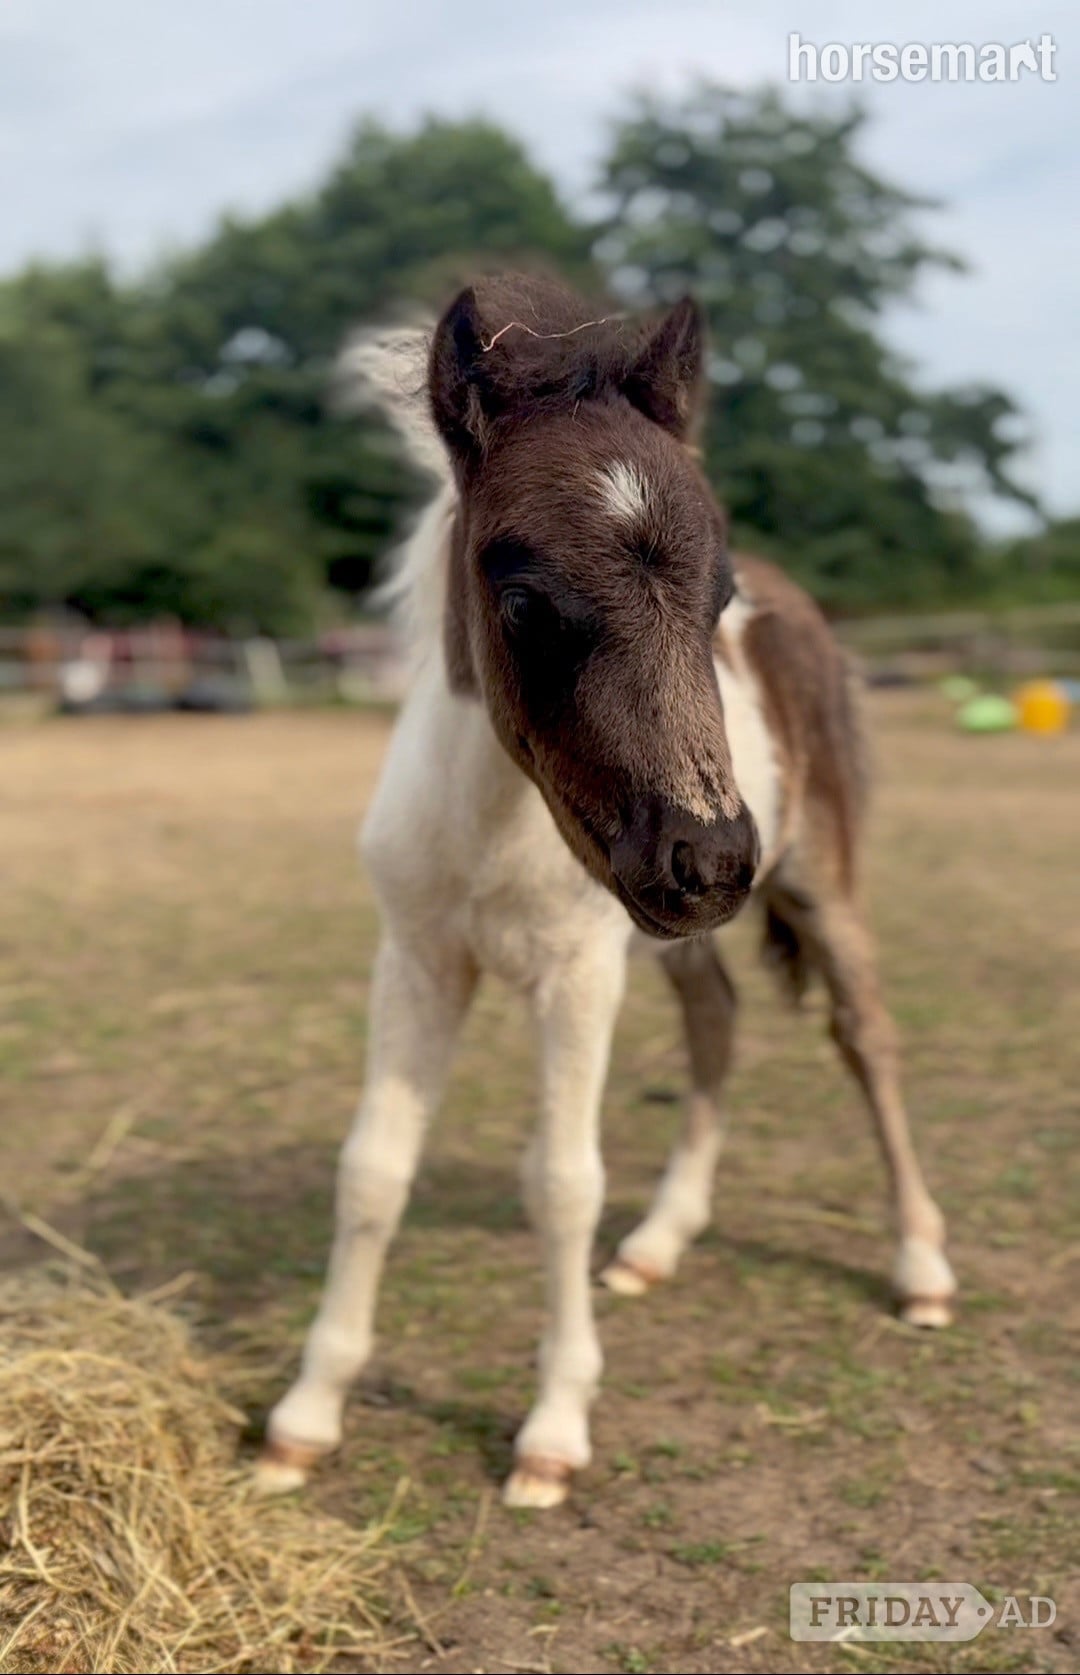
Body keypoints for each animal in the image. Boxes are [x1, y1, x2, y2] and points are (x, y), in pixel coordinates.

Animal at [257, 273, 956, 1509]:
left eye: (718, 600)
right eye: (524, 600)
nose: (715, 857)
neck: (494, 825)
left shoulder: (578, 973)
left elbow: (563, 1181)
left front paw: (552, 1429)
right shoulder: (419, 956)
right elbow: (373, 1168)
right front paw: (306, 1414)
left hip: (812, 875)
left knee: (866, 1032)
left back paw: (919, 1263)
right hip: (668, 925)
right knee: (718, 1019)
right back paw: (661, 1241)